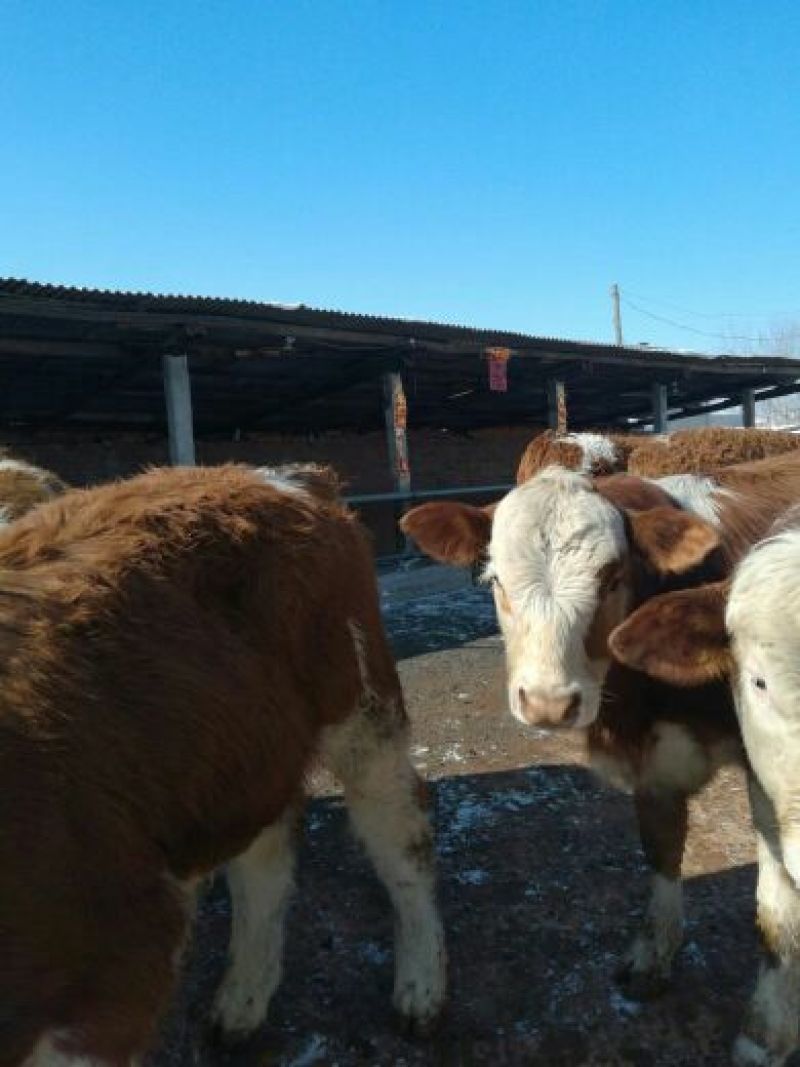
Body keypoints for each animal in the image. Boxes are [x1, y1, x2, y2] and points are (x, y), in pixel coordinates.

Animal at [0, 465, 445, 1067]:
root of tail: (278, 477)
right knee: (267, 857)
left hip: (362, 714)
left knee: (400, 837)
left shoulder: (116, 969)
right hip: (242, 759)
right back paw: (242, 1002)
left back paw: (420, 991)